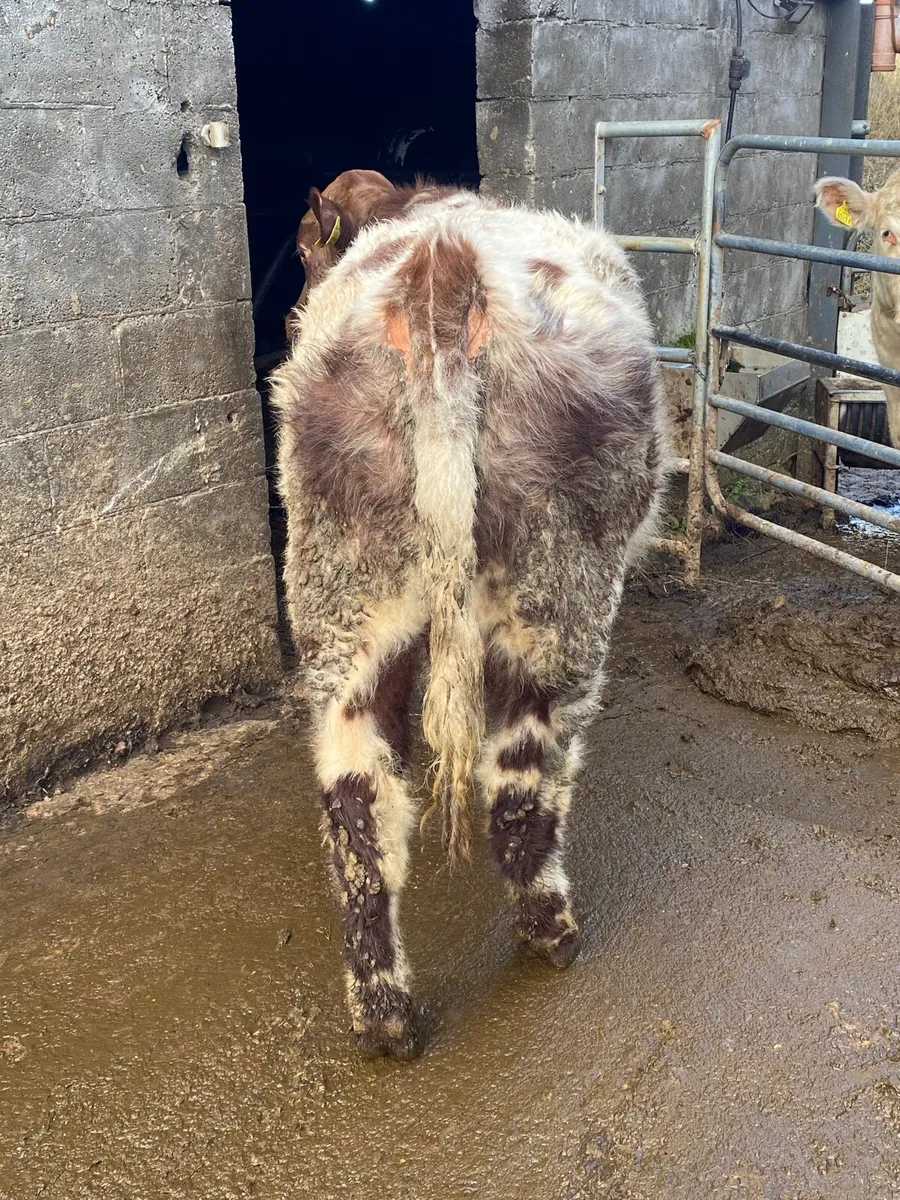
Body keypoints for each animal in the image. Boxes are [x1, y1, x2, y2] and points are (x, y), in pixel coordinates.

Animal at [269, 172, 671, 1060]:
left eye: (307, 250)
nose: (288, 313)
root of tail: (440, 268)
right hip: (558, 594)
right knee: (520, 786)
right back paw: (552, 934)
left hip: (348, 591)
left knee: (358, 805)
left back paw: (384, 1015)